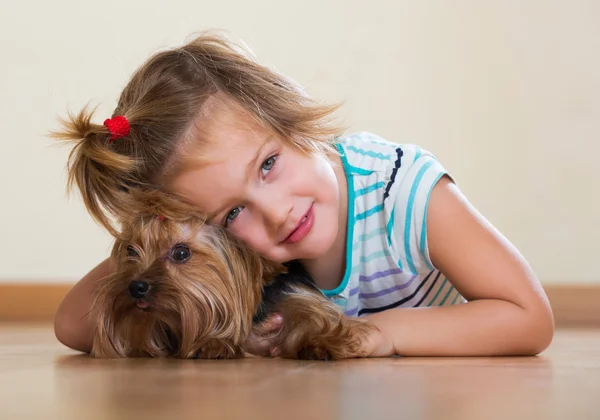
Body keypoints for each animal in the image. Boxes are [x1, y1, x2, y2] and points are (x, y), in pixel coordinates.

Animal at [90, 195, 376, 360]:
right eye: (131, 250)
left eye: (180, 253)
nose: (136, 286)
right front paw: (215, 343)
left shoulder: (295, 294)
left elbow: (315, 315)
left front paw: (319, 342)